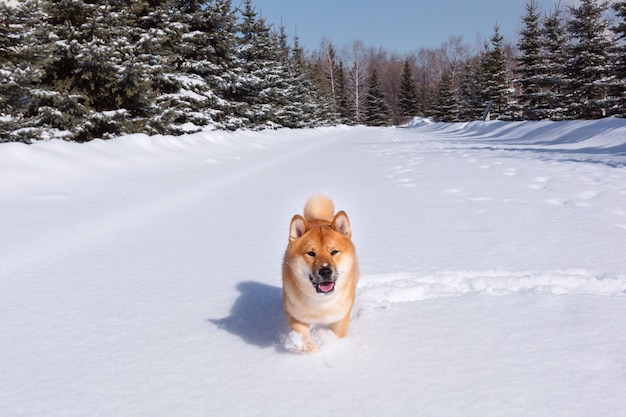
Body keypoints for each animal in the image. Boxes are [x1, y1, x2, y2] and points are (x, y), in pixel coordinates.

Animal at [280, 195, 358, 352]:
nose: (325, 271)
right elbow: (303, 341)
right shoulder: (297, 317)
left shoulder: (340, 319)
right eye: (311, 253)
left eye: (334, 251)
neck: (321, 303)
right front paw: (311, 348)